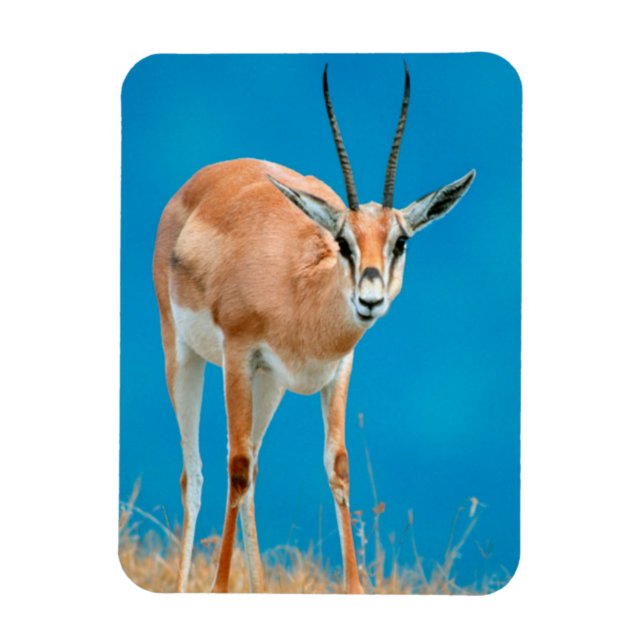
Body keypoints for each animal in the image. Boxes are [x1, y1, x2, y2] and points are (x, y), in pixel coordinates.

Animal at [152, 63, 475, 594]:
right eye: (342, 241)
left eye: (400, 241)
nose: (370, 298)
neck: (299, 294)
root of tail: (204, 178)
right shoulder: (238, 357)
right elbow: (234, 468)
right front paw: (219, 587)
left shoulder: (337, 368)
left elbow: (336, 465)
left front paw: (355, 588)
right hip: (184, 355)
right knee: (196, 472)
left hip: (270, 385)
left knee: (253, 465)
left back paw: (261, 588)